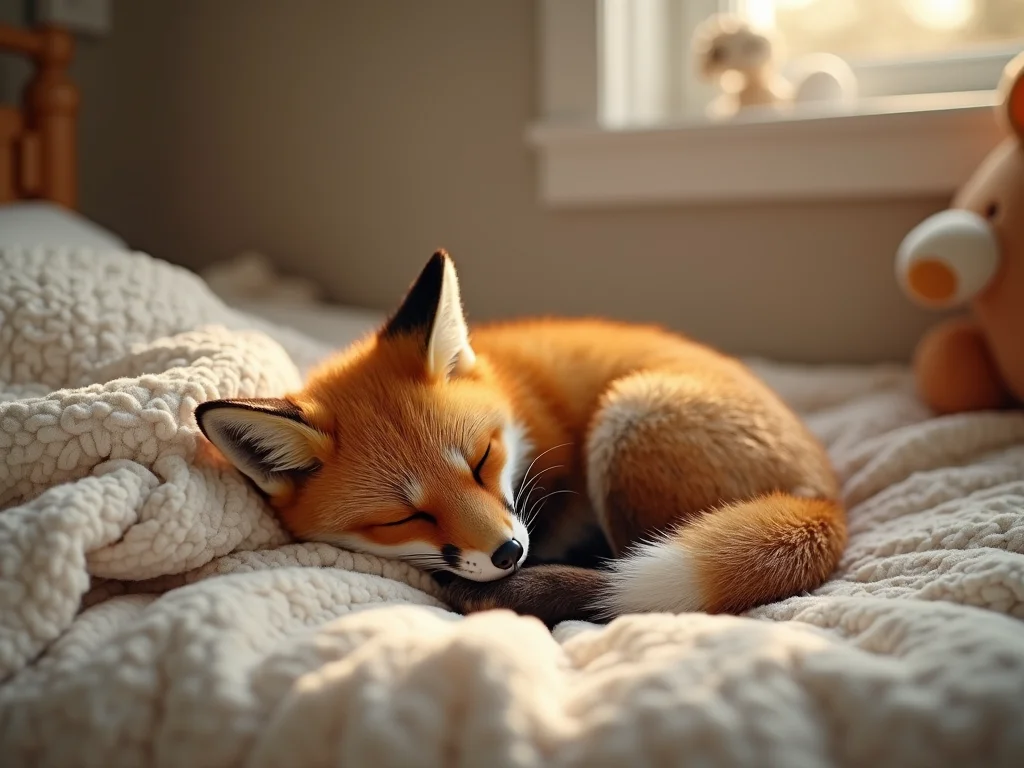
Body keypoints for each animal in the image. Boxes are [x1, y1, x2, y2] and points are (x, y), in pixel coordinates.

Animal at [195, 250, 846, 627]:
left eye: (481, 460)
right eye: (404, 518)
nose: (509, 553)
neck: (517, 400)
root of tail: (827, 502)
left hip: (627, 418)